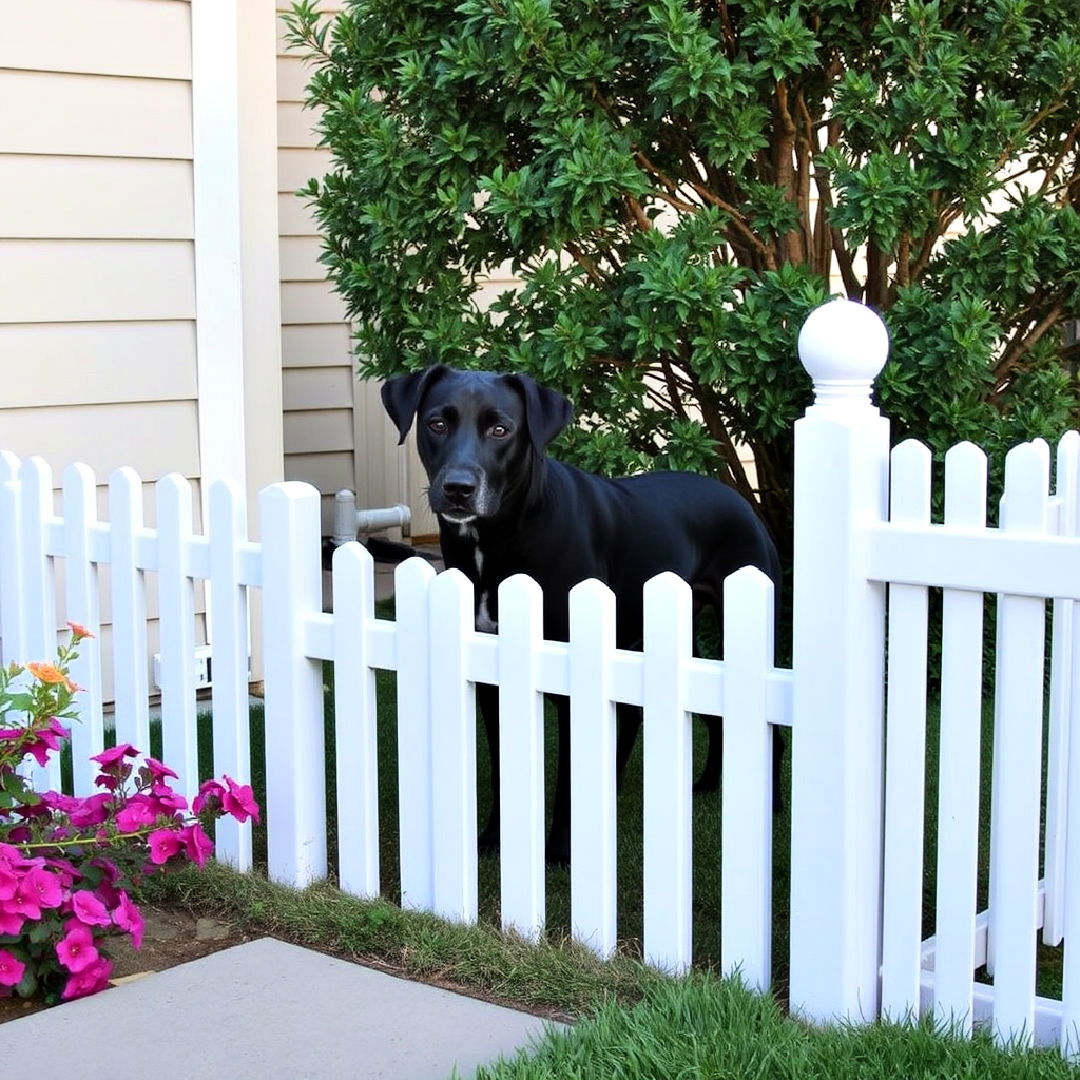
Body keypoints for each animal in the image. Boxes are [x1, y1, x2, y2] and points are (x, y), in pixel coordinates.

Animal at [384, 367, 781, 864]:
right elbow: (502, 769)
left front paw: (559, 850)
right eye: (437, 423)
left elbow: (569, 779)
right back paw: (698, 784)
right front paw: (494, 839)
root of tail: (739, 498)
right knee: (676, 716)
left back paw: (773, 806)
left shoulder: (572, 683)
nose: (458, 489)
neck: (498, 537)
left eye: (501, 429)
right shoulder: (492, 679)